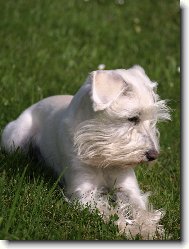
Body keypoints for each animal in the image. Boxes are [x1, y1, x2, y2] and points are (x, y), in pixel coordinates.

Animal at [1, 65, 170, 239]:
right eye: (133, 118)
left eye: (152, 121)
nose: (153, 155)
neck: (100, 151)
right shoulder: (84, 192)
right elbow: (109, 213)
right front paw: (128, 228)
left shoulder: (128, 187)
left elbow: (140, 208)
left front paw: (149, 230)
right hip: (15, 139)